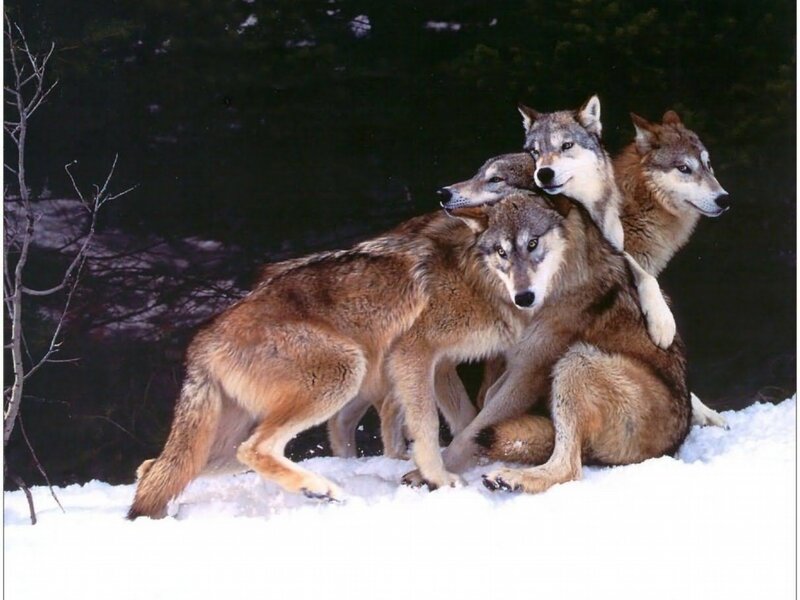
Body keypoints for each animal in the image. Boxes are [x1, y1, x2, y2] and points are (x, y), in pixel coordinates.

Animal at [127, 198, 540, 518]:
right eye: (505, 251)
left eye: (535, 246)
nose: (527, 294)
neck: (473, 274)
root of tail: (203, 342)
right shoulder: (413, 354)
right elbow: (425, 428)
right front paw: (438, 479)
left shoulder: (441, 365)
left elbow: (466, 420)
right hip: (344, 371)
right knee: (255, 450)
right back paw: (318, 488)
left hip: (223, 445)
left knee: (153, 468)